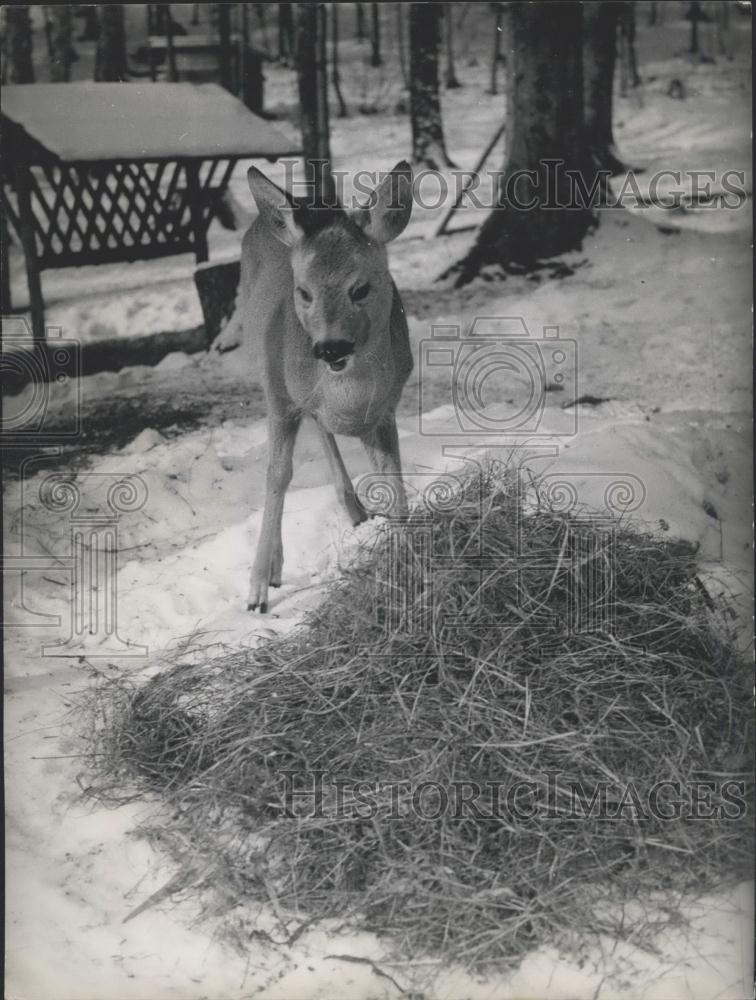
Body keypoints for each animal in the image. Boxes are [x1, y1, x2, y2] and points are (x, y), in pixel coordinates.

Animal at [230, 163, 416, 612]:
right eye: (304, 292)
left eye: (361, 288)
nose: (331, 346)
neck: (350, 398)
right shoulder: (280, 397)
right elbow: (277, 475)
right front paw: (257, 589)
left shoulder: (386, 408)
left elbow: (392, 477)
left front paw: (405, 557)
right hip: (264, 366)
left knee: (322, 426)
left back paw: (354, 509)